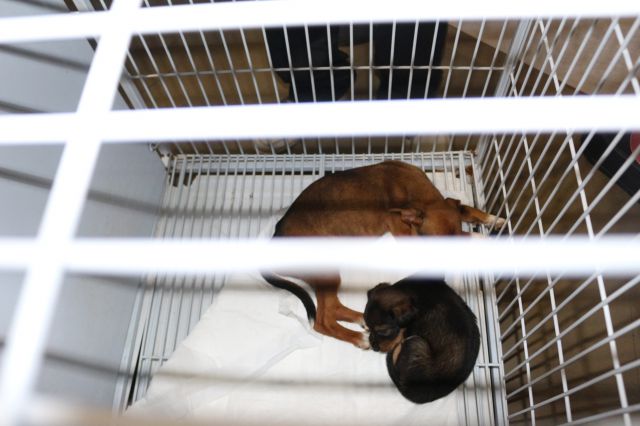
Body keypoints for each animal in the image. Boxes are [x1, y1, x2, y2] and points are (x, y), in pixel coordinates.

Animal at [261, 160, 503, 348]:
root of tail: (275, 239)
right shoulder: (406, 235)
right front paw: (482, 237)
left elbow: (465, 208)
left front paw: (493, 218)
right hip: (325, 272)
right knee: (322, 319)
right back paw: (358, 338)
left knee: (332, 308)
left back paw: (360, 318)